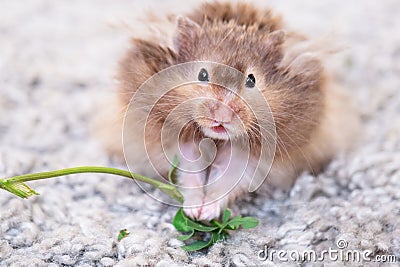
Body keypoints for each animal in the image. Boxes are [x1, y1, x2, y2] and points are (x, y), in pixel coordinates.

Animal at [101, 1, 360, 220]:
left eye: (252, 80)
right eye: (202, 74)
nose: (222, 117)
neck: (216, 139)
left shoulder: (254, 158)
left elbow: (229, 182)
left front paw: (205, 214)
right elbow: (189, 174)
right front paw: (193, 211)